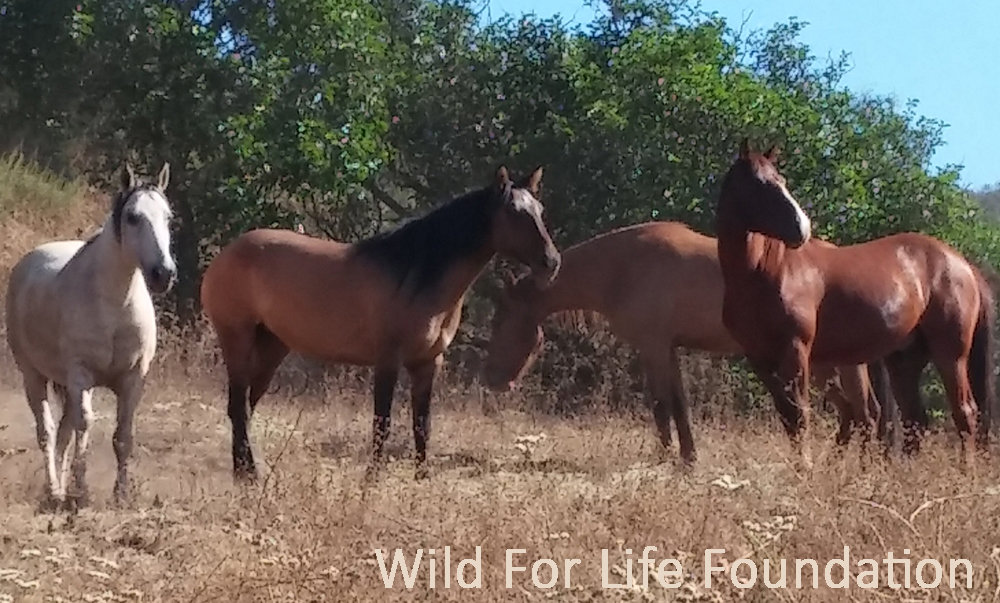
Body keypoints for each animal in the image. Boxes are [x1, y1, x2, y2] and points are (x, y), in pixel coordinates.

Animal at [5, 162, 176, 507]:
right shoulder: (81, 375)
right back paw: (54, 488)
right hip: (34, 376)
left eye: (168, 217)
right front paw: (80, 489)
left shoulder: (133, 379)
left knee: (64, 431)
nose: (163, 274)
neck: (114, 303)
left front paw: (121, 494)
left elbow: (123, 435)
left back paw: (59, 487)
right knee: (48, 432)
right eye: (133, 217)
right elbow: (85, 426)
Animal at [200, 166, 561, 481]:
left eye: (540, 209)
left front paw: (421, 478)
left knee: (246, 407)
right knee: (238, 408)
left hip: (272, 348)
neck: (417, 272)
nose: (552, 262)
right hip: (237, 340)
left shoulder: (428, 363)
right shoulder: (388, 360)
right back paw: (248, 476)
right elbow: (382, 423)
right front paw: (371, 481)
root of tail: (226, 253)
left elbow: (422, 425)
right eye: (514, 212)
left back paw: (245, 472)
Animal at [481, 221, 886, 464]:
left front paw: (666, 456)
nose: (492, 380)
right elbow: (679, 405)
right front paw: (688, 456)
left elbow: (661, 405)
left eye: (501, 320)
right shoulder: (669, 349)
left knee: (864, 414)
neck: (623, 266)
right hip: (825, 364)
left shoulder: (654, 347)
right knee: (854, 413)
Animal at [714, 139, 996, 467]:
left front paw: (805, 468)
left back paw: (965, 472)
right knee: (915, 420)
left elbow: (801, 417)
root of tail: (962, 264)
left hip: (950, 355)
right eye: (760, 184)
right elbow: (788, 419)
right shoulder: (760, 359)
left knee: (964, 413)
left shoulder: (796, 353)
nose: (802, 228)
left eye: (780, 180)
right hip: (904, 361)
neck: (769, 271)